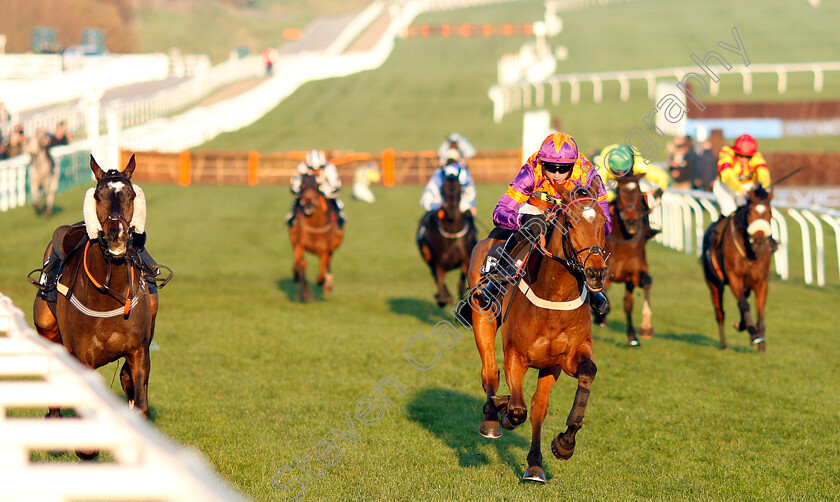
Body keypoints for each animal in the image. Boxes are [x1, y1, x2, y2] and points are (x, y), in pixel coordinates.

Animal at [288, 173, 342, 302]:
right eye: (302, 185)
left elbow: (321, 273)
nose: (308, 204)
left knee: (327, 266)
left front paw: (324, 282)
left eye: (316, 185)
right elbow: (299, 265)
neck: (315, 225)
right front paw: (305, 292)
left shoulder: (325, 251)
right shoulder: (299, 245)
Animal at [704, 185, 776, 352]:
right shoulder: (734, 277)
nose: (759, 244)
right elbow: (744, 304)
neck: (749, 253)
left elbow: (759, 310)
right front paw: (754, 334)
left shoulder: (761, 281)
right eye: (749, 212)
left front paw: (761, 343)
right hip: (714, 283)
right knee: (720, 313)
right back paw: (724, 344)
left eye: (770, 212)